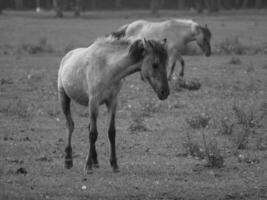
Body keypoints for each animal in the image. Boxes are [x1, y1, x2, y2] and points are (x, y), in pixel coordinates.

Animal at [58, 36, 170, 173]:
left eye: (166, 64)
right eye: (155, 64)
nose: (165, 92)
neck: (108, 68)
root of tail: (67, 56)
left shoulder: (112, 102)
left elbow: (111, 132)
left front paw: (114, 164)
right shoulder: (94, 101)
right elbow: (93, 134)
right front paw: (88, 166)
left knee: (88, 126)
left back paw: (95, 160)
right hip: (64, 98)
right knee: (70, 125)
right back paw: (68, 160)